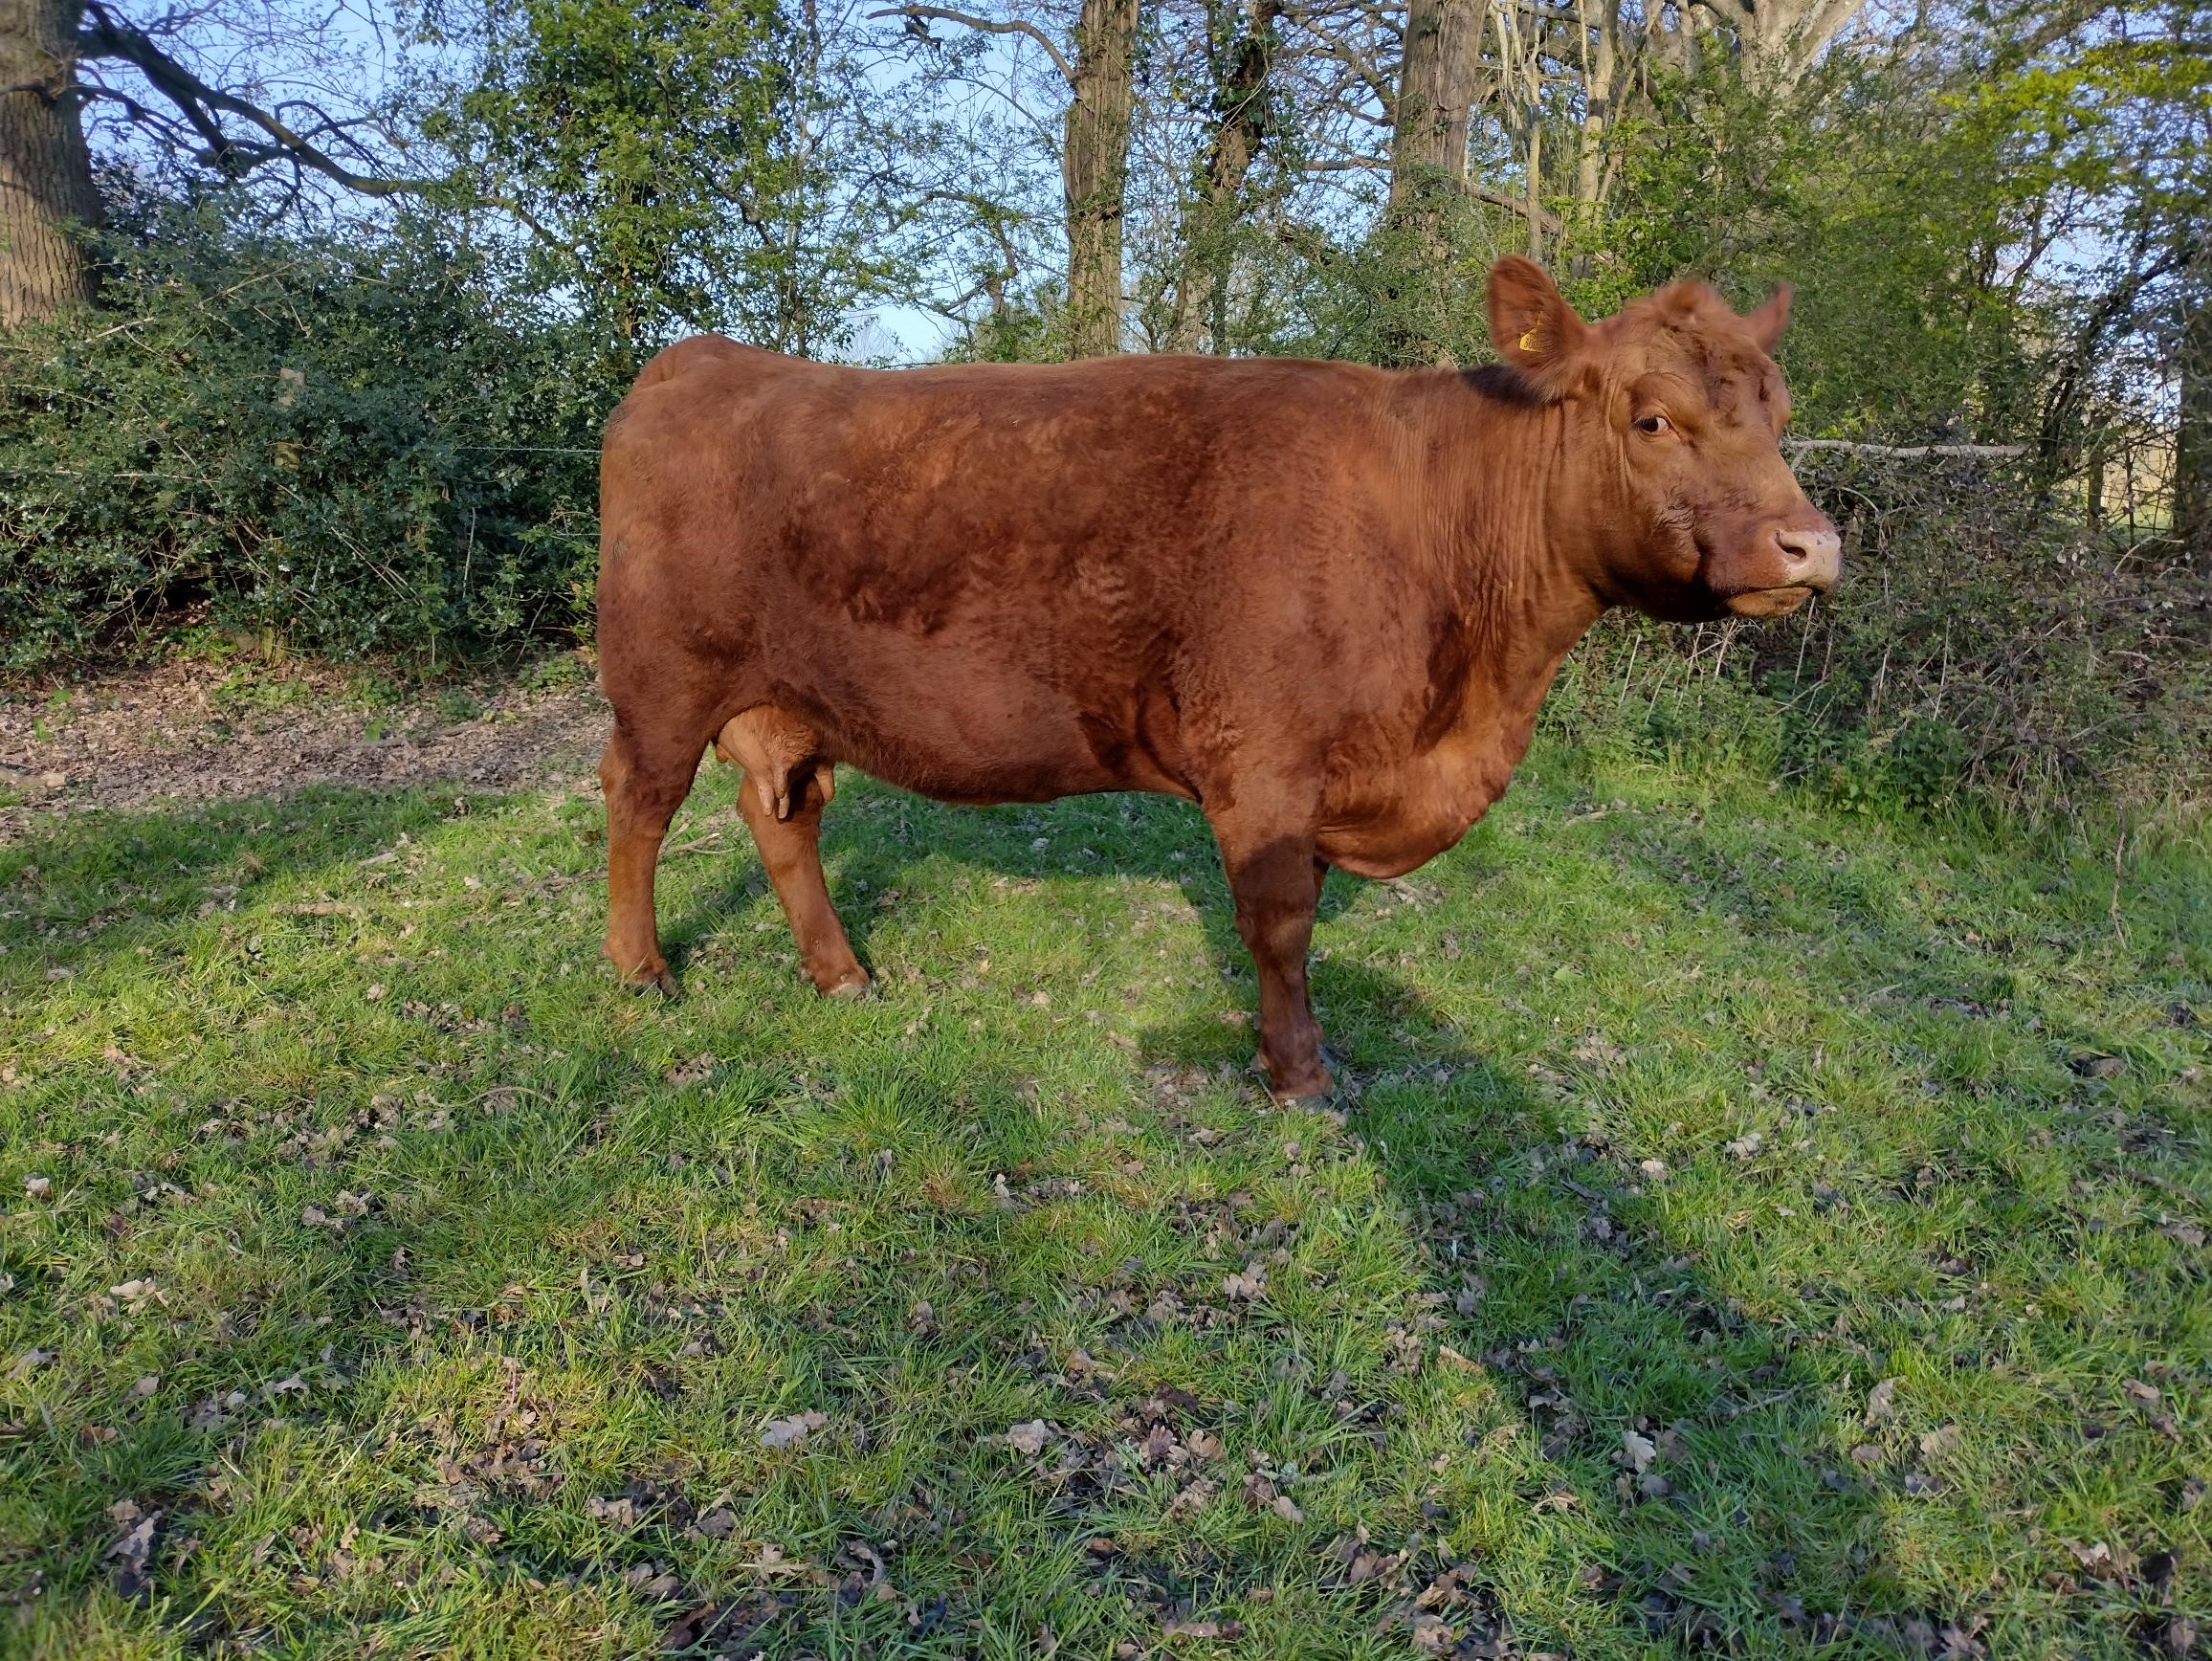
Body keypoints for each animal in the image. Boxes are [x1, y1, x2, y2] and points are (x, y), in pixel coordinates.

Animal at [594, 257, 1841, 1101]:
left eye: (1779, 412)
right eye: (1651, 418)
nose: (1808, 545)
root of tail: (698, 357)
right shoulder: (1266, 761)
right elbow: (1279, 923)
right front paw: (1296, 1070)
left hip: (786, 702)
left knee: (780, 815)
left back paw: (839, 972)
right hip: (660, 679)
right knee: (638, 804)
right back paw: (641, 971)